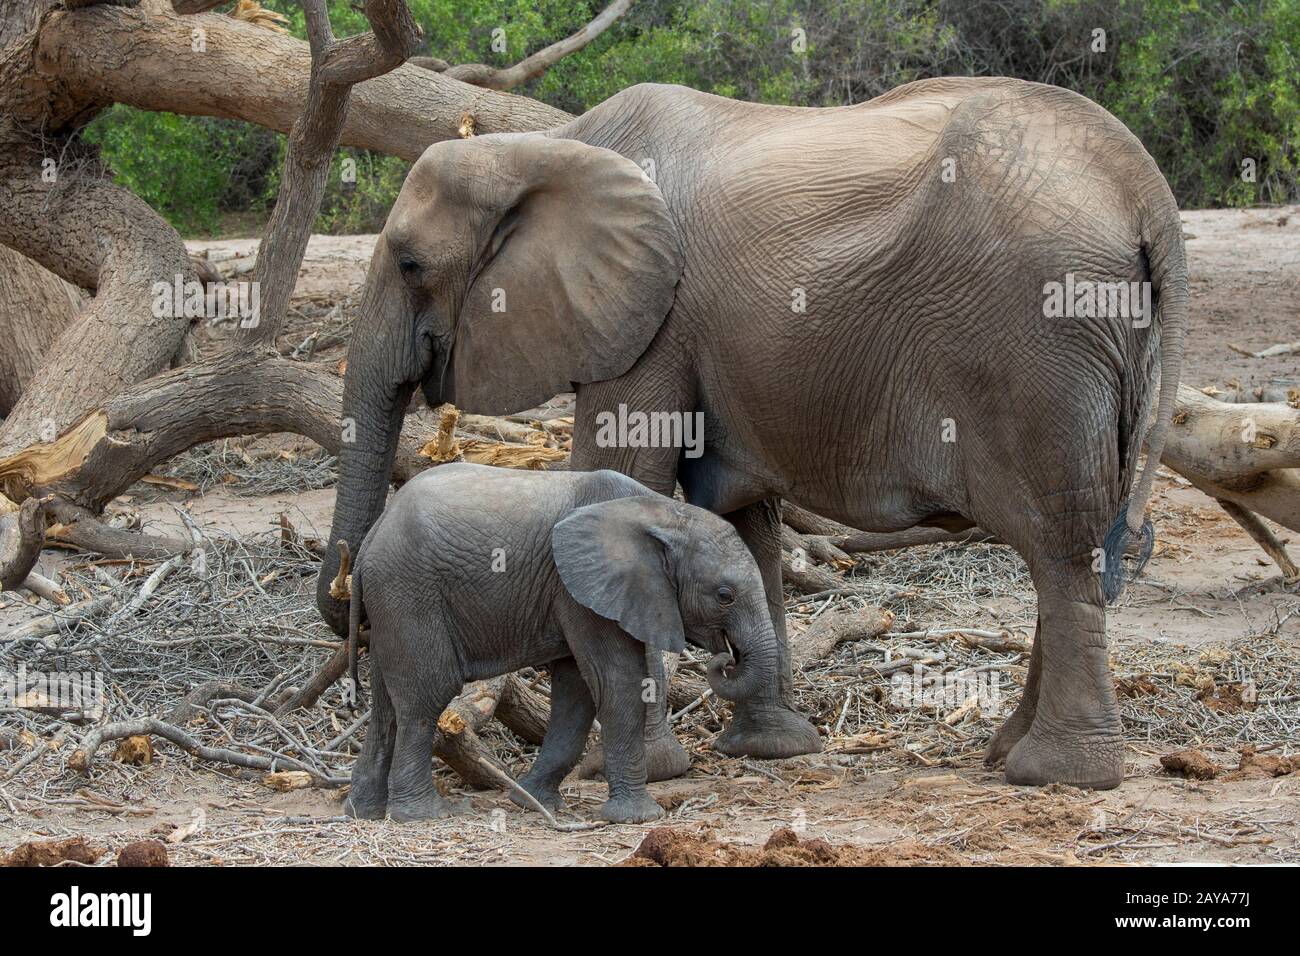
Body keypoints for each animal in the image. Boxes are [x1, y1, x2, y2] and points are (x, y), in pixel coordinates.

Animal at [340, 463, 774, 822]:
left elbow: (577, 689)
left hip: (391, 600)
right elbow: (615, 680)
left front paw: (533, 803)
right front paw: (638, 819)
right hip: (410, 592)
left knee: (386, 702)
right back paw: (426, 815)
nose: (725, 658)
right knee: (426, 695)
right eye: (724, 596)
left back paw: (363, 811)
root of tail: (370, 539)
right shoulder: (579, 590)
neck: (664, 512)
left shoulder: (573, 592)